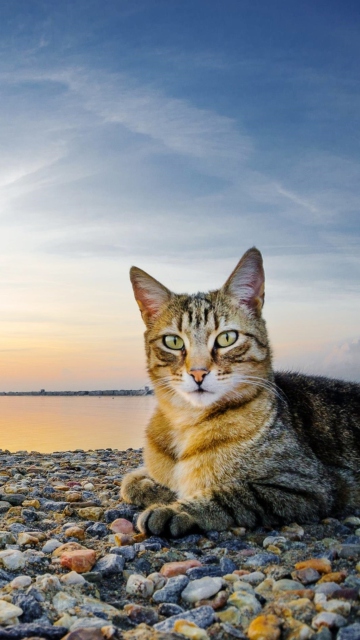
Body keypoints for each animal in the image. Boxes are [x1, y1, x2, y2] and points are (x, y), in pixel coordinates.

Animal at [121, 248, 360, 536]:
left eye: (227, 338)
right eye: (173, 341)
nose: (198, 373)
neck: (186, 421)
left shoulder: (311, 486)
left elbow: (234, 494)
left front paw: (176, 509)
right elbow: (131, 481)